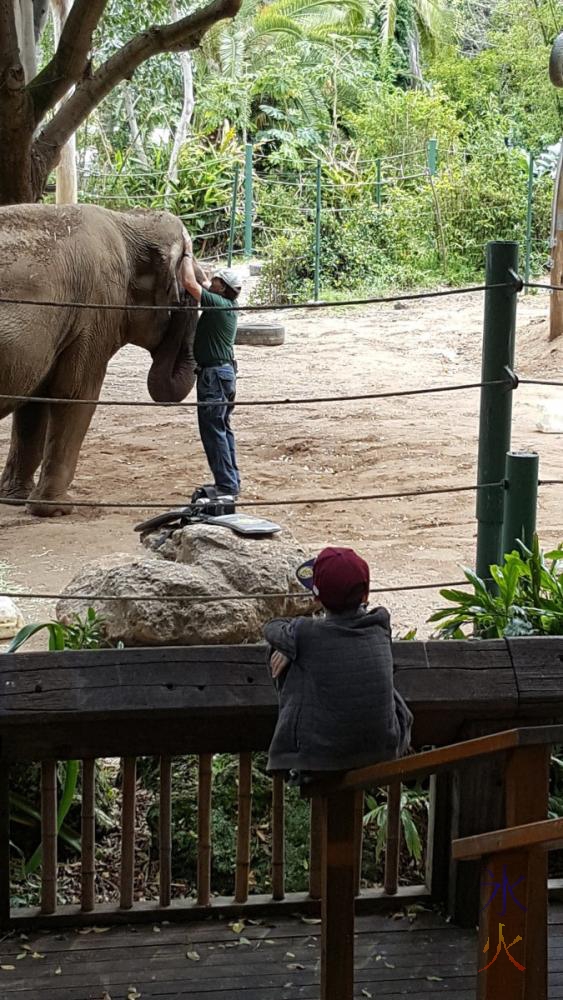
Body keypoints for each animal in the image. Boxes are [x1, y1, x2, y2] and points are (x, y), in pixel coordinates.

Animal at [0, 201, 198, 516]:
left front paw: (16, 498)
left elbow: (37, 402)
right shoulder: (95, 308)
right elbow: (76, 394)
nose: (188, 299)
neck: (127, 222)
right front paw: (58, 509)